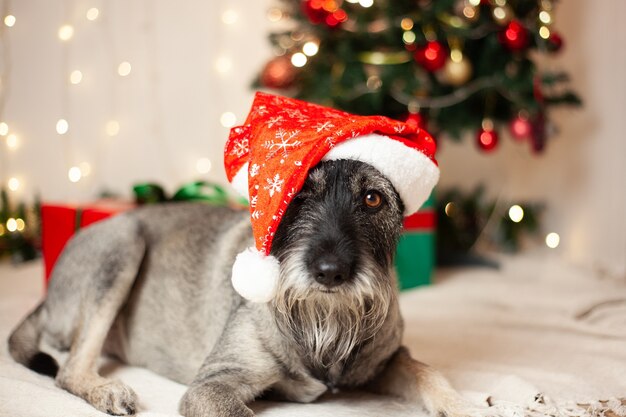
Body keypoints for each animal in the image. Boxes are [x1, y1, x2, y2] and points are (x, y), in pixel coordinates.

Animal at [11, 160, 488, 416]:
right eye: (296, 195)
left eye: (373, 198)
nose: (330, 272)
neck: (323, 327)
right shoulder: (213, 386)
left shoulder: (388, 361)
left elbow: (427, 371)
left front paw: (463, 405)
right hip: (123, 245)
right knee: (70, 369)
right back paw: (107, 390)